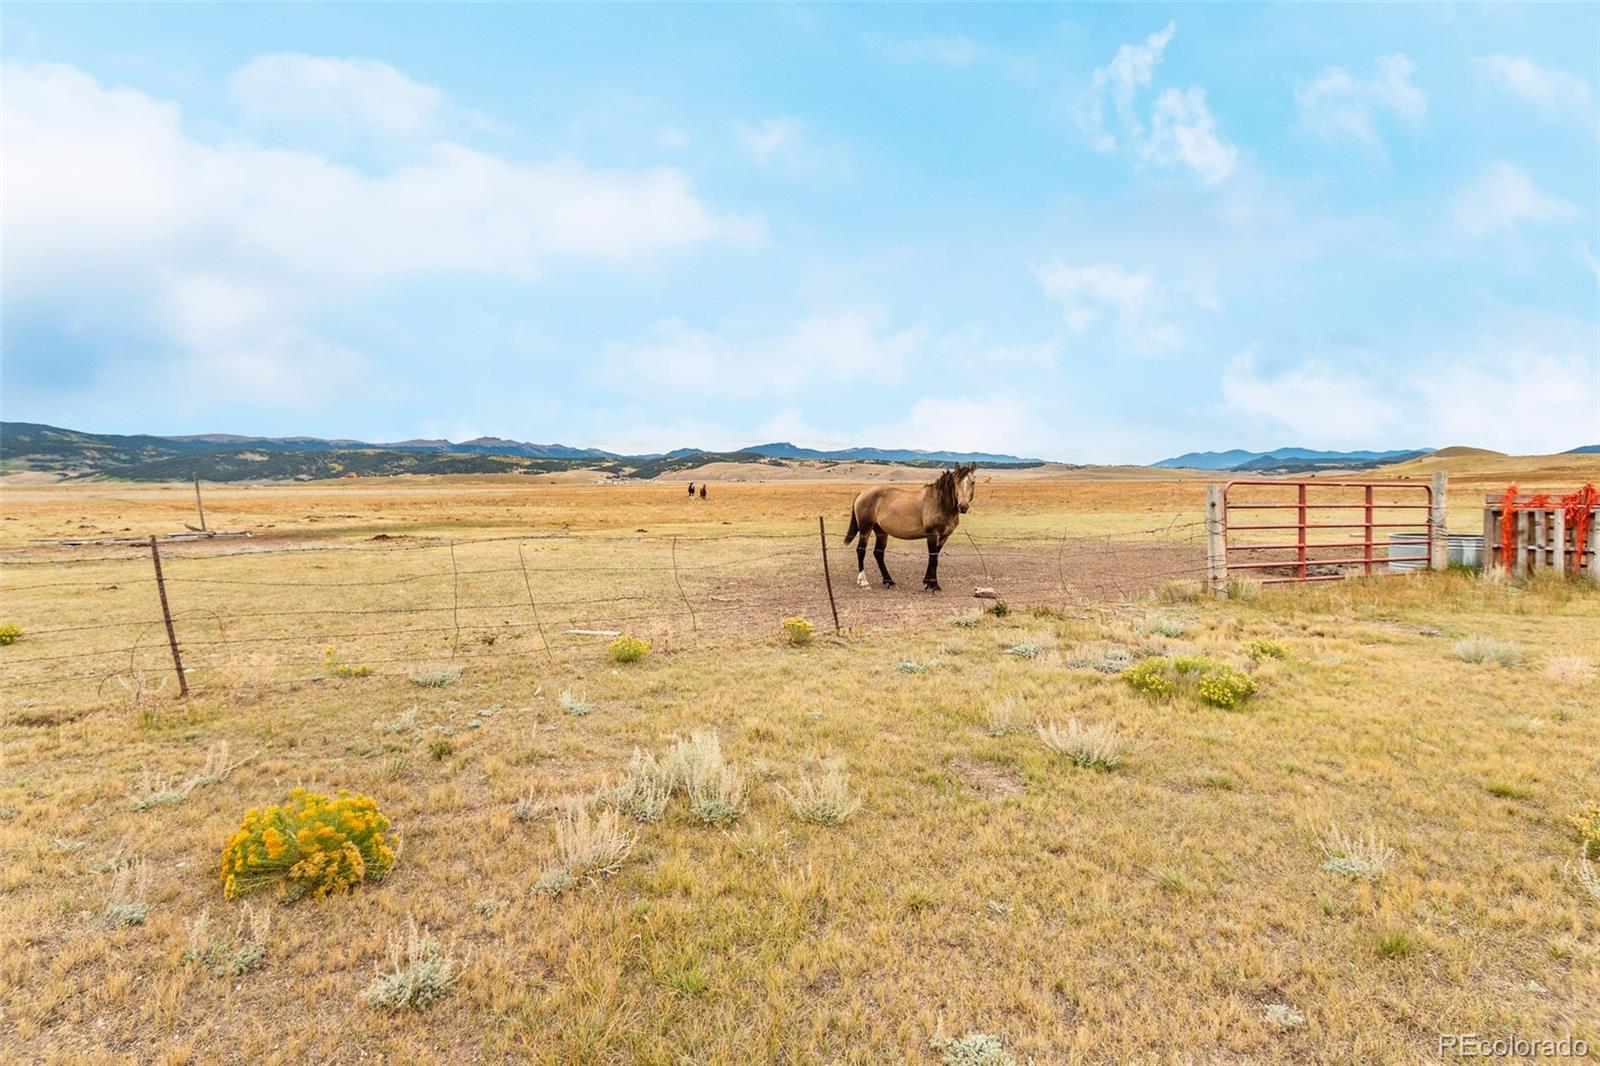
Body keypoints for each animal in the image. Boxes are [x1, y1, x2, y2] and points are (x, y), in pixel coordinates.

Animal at [838, 457, 972, 589]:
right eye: (957, 482)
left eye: (973, 482)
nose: (963, 506)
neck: (939, 502)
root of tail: (862, 493)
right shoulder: (932, 535)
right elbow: (933, 558)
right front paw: (933, 585)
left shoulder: (944, 537)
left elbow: (934, 557)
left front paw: (928, 582)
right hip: (865, 529)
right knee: (861, 550)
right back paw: (863, 581)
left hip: (881, 531)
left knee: (878, 553)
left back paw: (889, 581)